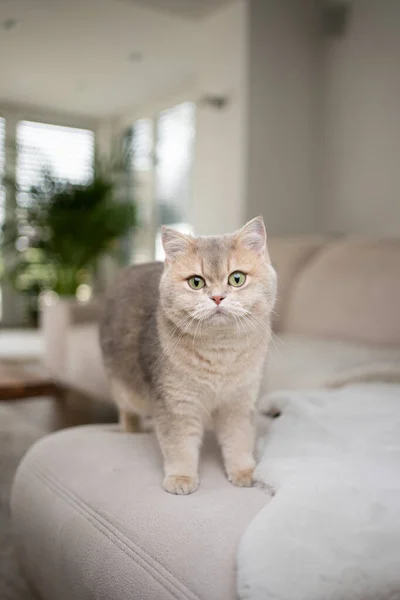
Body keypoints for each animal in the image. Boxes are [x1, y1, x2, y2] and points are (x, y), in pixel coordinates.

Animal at [98, 218, 276, 494]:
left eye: (236, 279)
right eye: (196, 282)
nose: (217, 297)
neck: (220, 352)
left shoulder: (239, 402)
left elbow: (239, 439)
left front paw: (243, 471)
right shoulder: (177, 406)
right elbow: (180, 446)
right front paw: (181, 478)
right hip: (126, 391)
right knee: (126, 412)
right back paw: (132, 430)